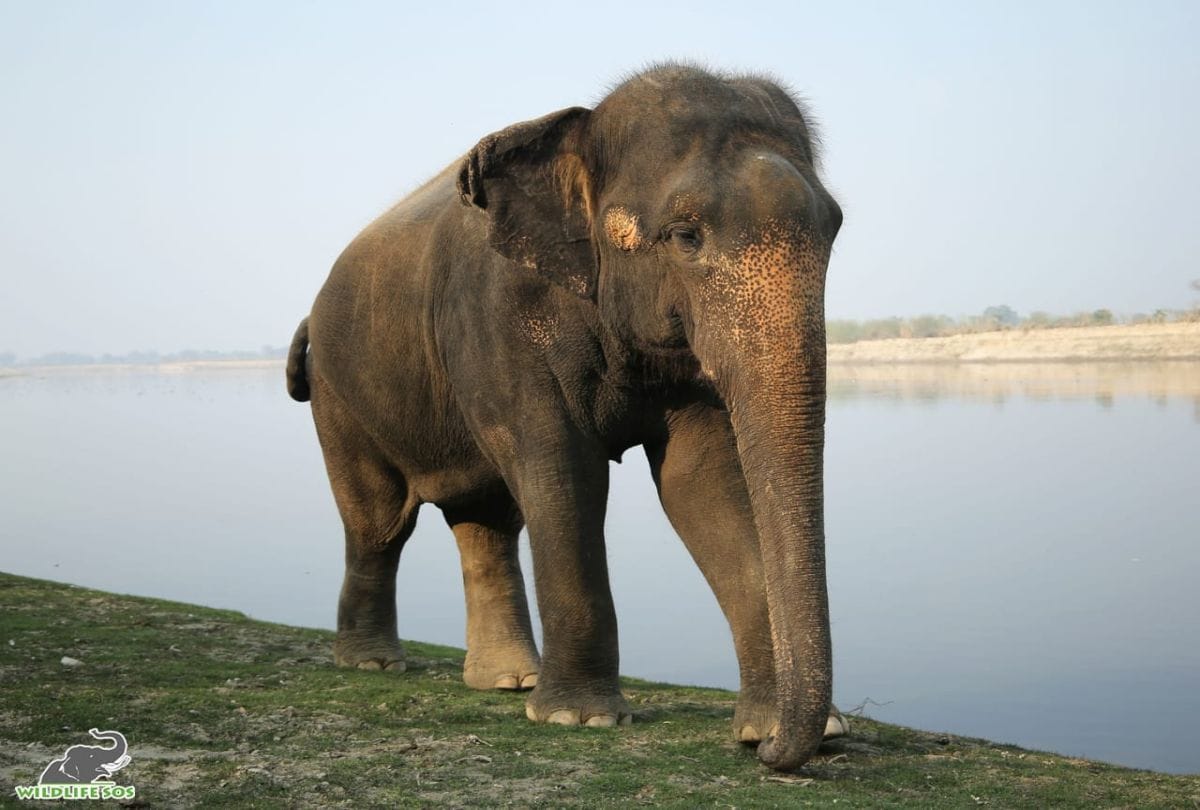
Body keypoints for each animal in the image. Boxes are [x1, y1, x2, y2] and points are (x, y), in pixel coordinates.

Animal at [287, 63, 843, 770]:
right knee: (379, 522)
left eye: (834, 229)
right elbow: (563, 474)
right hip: (340, 395)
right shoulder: (502, 321)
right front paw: (580, 719)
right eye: (686, 235)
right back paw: (375, 665)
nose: (774, 752)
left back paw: (508, 680)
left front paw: (777, 729)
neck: (582, 130)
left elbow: (702, 487)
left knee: (486, 520)